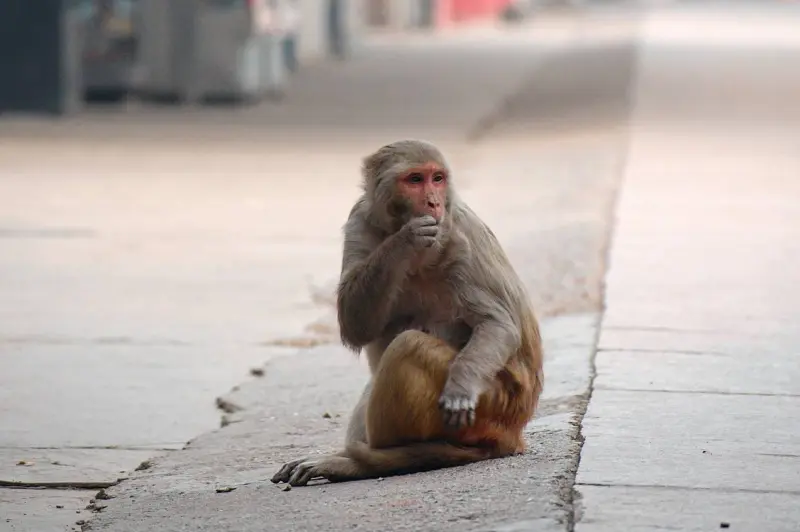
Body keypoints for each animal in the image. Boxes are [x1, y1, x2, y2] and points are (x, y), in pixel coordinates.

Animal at [271, 139, 544, 487]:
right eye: (415, 179)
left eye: (437, 178)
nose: (433, 202)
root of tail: (513, 435)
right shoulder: (359, 218)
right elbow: (354, 324)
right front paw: (406, 238)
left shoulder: (461, 235)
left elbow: (497, 322)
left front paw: (461, 386)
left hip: (492, 407)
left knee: (409, 345)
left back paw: (373, 461)